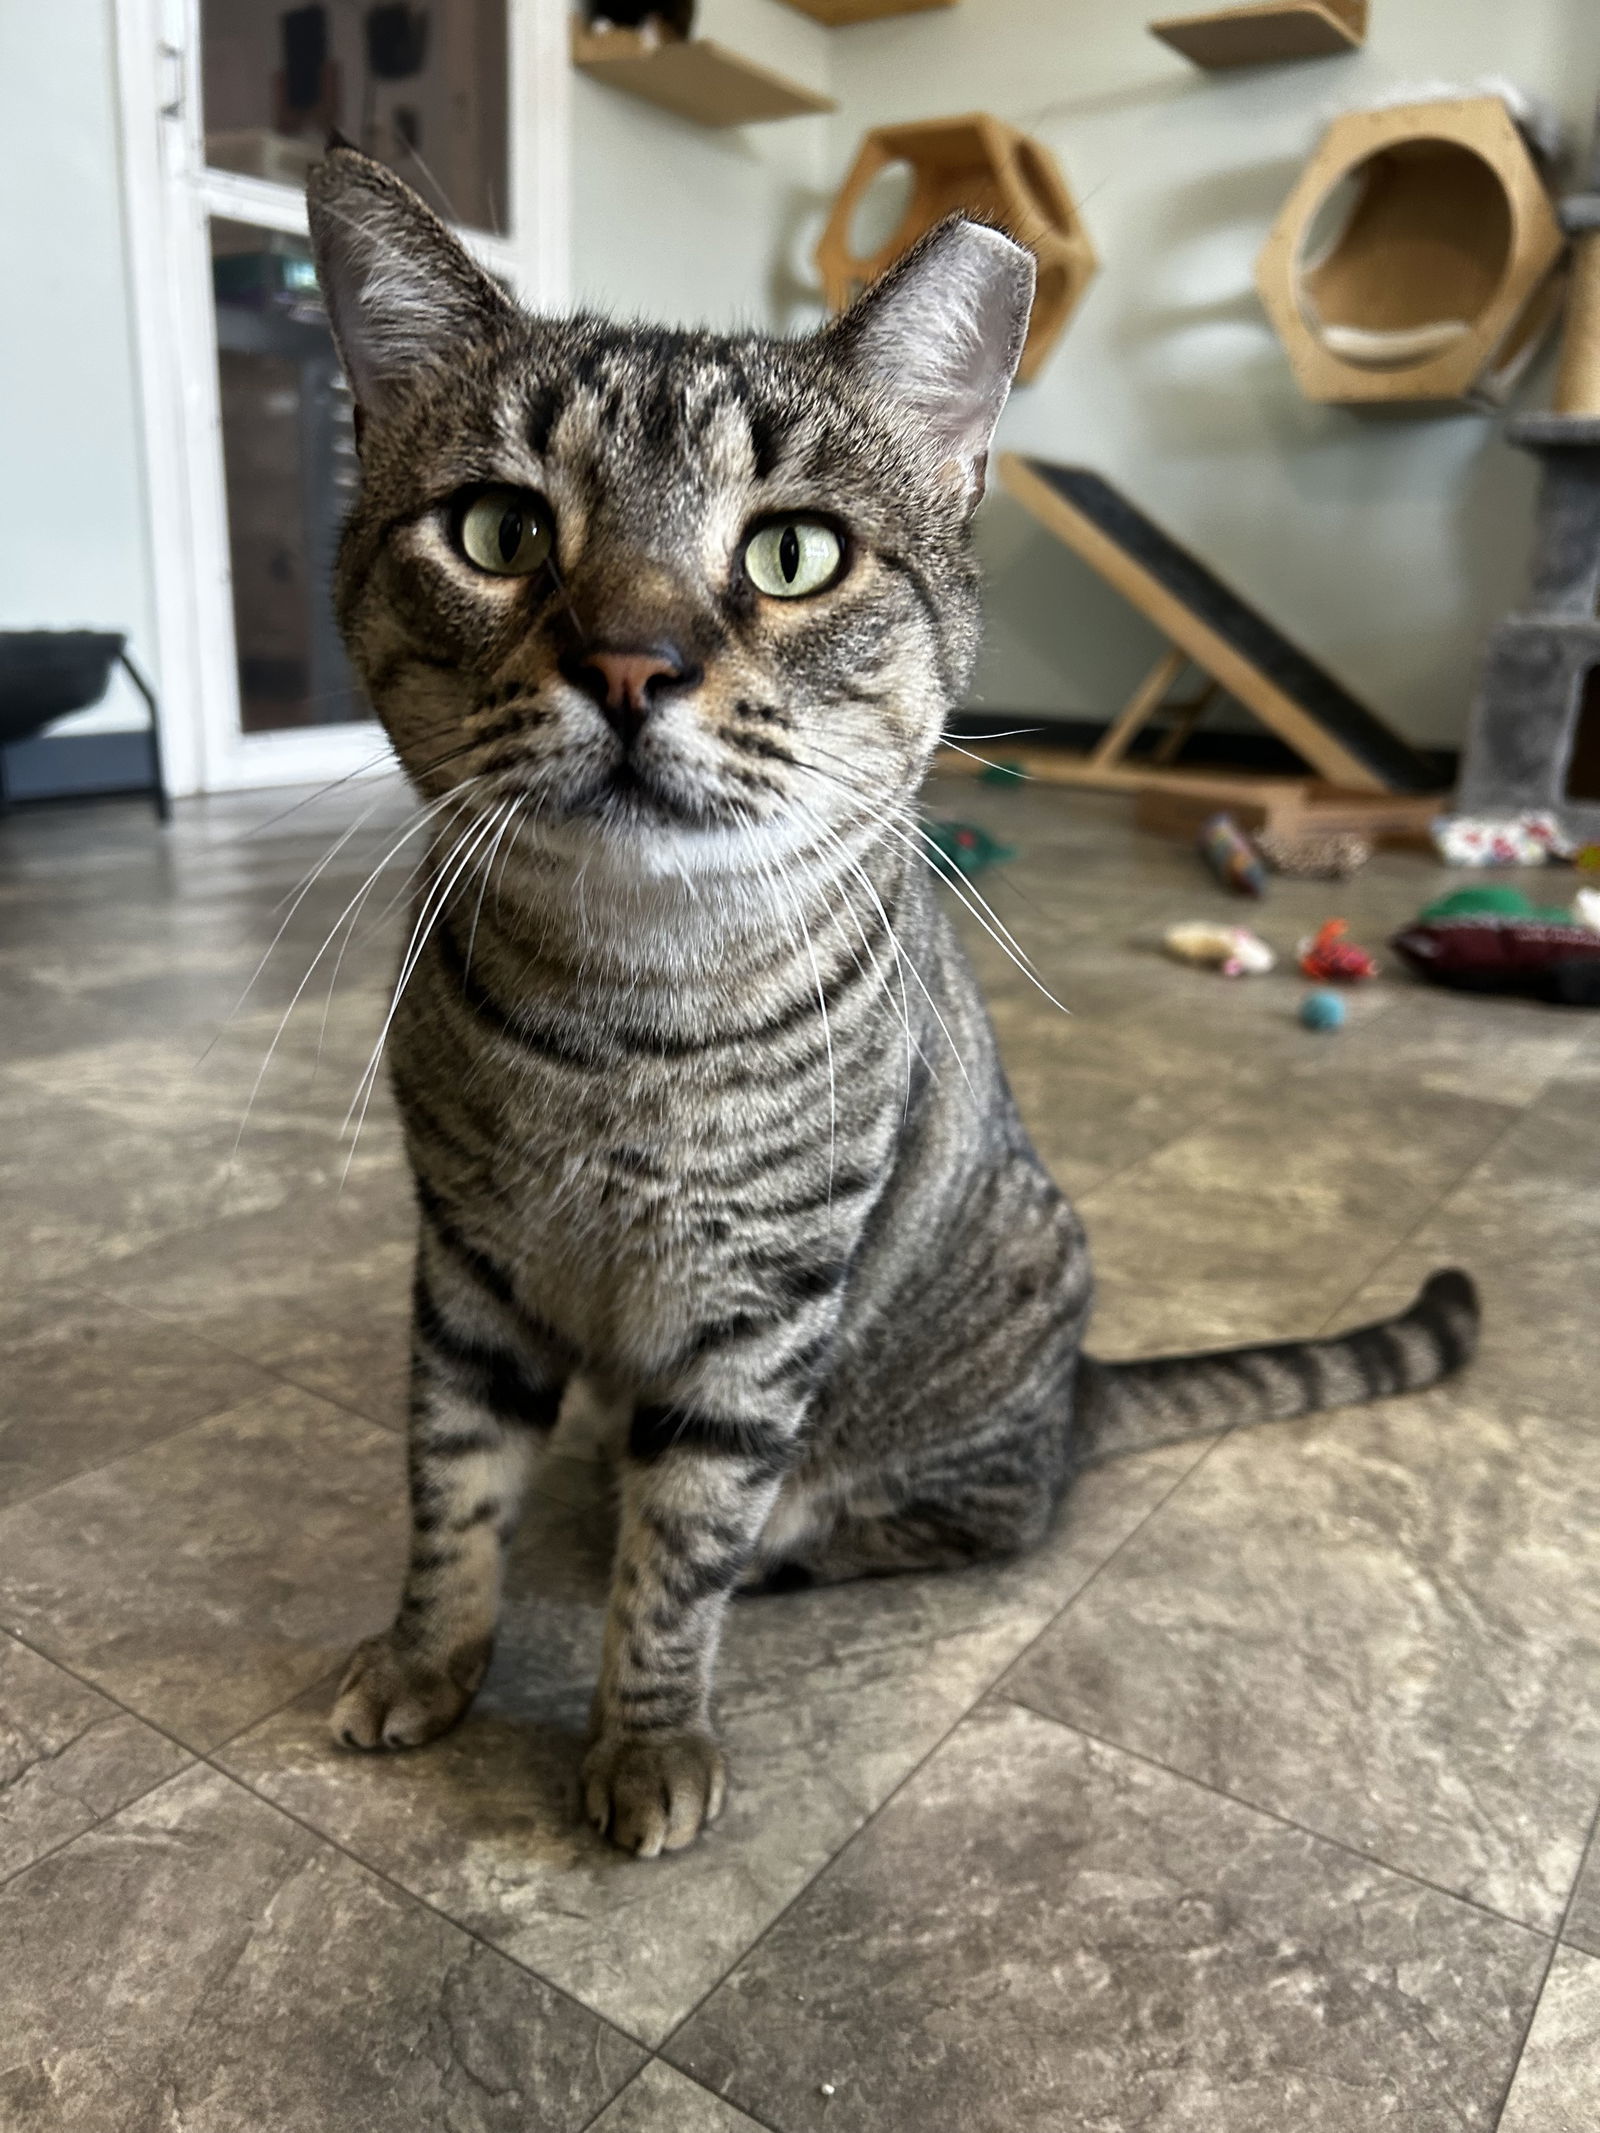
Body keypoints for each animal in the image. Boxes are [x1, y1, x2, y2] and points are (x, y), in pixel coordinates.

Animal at [307, 150, 1484, 1851]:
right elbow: (451, 1482)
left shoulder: (762, 1306)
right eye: (500, 531)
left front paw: (647, 1739)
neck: (619, 1009)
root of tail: (1077, 1396)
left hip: (956, 1397)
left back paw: (787, 1543)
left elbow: (681, 1552)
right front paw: (426, 1658)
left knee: (960, 1516)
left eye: (792, 553)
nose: (632, 662)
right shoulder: (467, 1261)